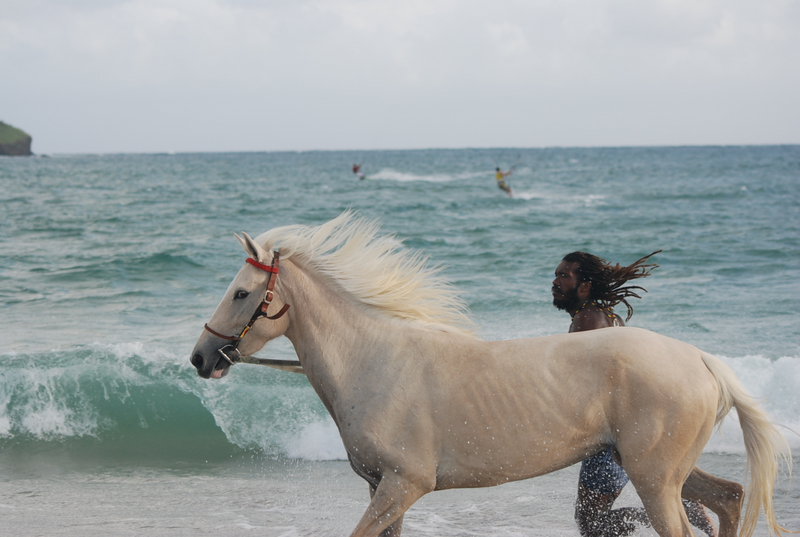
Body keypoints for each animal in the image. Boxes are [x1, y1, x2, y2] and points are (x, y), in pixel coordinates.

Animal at [190, 212, 791, 537]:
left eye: (241, 293)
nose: (201, 358)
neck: (371, 362)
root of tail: (703, 360)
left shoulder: (403, 485)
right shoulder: (382, 489)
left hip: (652, 476)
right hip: (659, 470)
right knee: (730, 497)